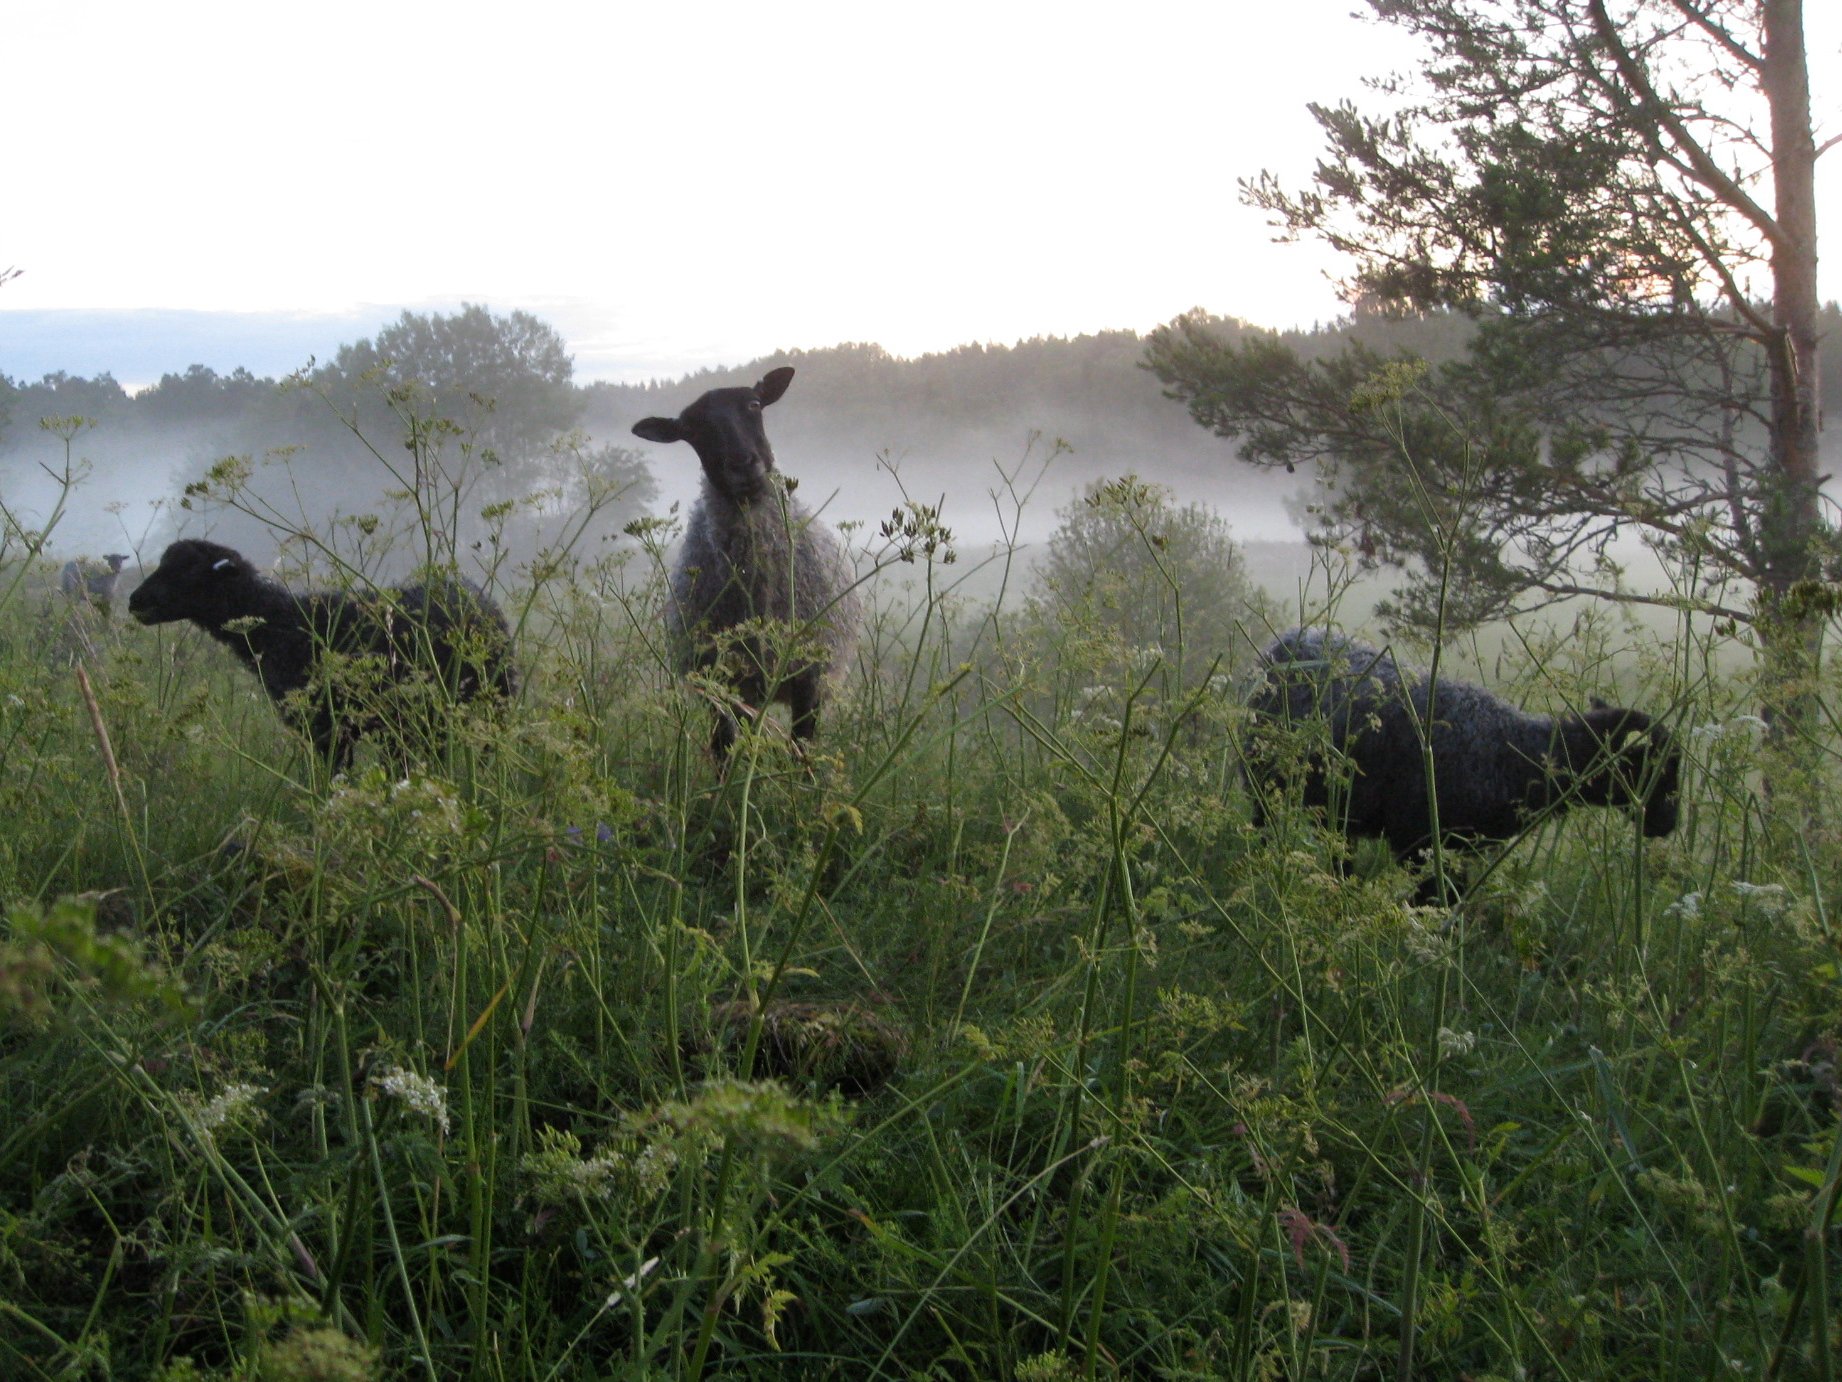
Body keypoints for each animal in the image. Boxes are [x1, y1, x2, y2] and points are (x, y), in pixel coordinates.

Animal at [632, 366, 860, 759]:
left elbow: (802, 751)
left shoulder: (809, 679)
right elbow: (722, 749)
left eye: (754, 405)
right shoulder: (719, 686)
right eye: (691, 429)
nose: (742, 464)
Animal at [1243, 627, 1680, 901]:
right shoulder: (1421, 842)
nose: (1667, 825)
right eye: (1655, 764)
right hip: (1262, 778)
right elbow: (1435, 903)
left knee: (1340, 851)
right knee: (1263, 826)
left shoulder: (1451, 848)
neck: (1516, 755)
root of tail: (1285, 640)